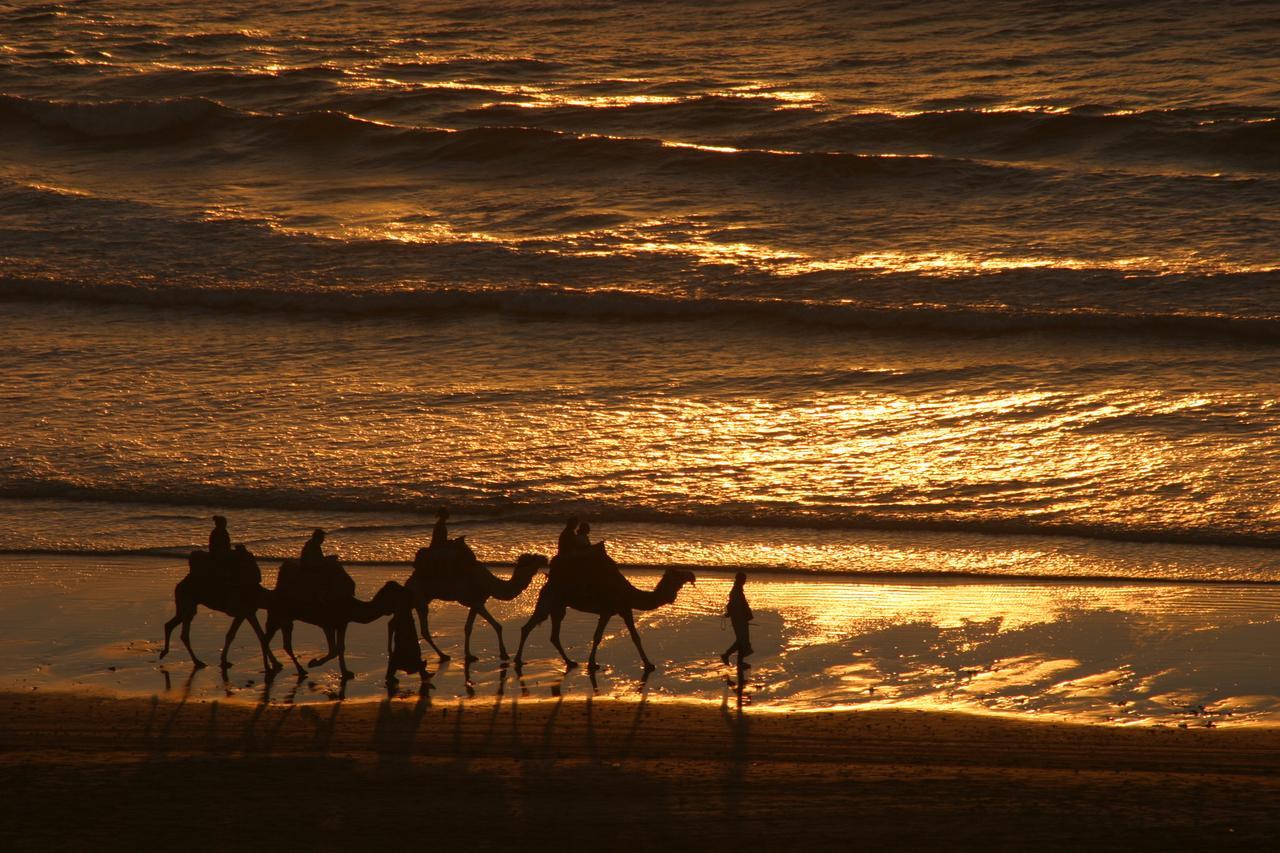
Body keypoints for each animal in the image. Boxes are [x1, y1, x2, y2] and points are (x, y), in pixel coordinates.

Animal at [261, 558, 396, 676]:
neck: (351, 605)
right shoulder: (327, 623)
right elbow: (333, 650)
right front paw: (313, 662)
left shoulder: (342, 623)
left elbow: (341, 648)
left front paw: (346, 672)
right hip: (281, 615)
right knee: (278, 642)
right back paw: (290, 669)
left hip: (281, 618)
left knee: (270, 640)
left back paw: (278, 667)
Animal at [409, 535, 550, 660]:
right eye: (533, 558)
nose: (544, 558)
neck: (490, 584)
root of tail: (410, 580)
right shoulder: (477, 602)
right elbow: (497, 625)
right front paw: (504, 654)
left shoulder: (476, 603)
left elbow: (469, 628)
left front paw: (469, 655)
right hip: (419, 596)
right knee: (424, 630)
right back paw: (443, 656)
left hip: (420, 598)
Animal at [509, 545, 696, 671]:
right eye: (679, 575)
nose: (691, 575)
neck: (629, 593)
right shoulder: (608, 610)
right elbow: (598, 636)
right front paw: (592, 664)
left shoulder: (624, 610)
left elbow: (635, 637)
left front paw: (648, 664)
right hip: (552, 600)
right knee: (533, 627)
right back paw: (519, 660)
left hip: (557, 605)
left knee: (547, 633)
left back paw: (568, 662)